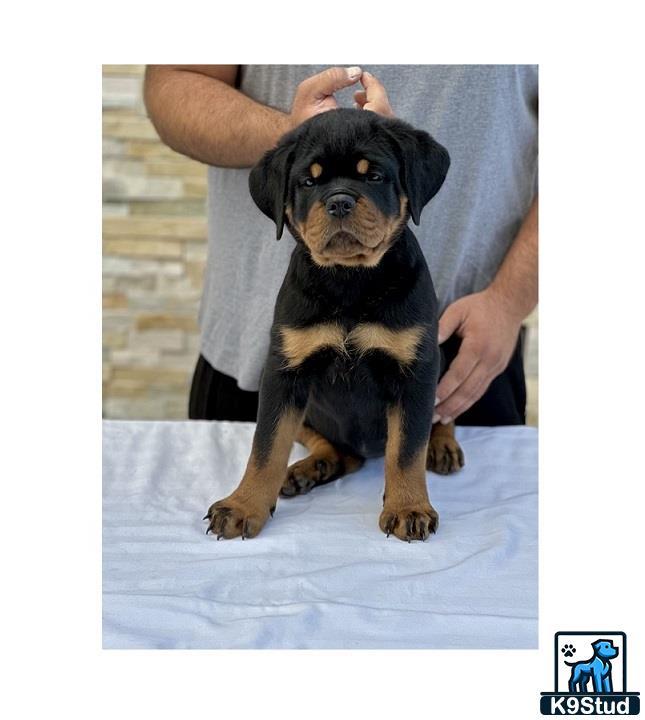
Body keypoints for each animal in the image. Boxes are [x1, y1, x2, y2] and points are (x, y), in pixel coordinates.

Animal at [205, 109, 462, 544]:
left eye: (373, 175)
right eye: (308, 182)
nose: (339, 201)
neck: (349, 281)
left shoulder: (415, 371)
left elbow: (407, 448)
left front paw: (408, 508)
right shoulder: (284, 373)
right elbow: (266, 446)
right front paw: (242, 506)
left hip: (442, 353)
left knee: (440, 416)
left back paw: (442, 446)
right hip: (309, 408)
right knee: (335, 450)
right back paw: (308, 469)